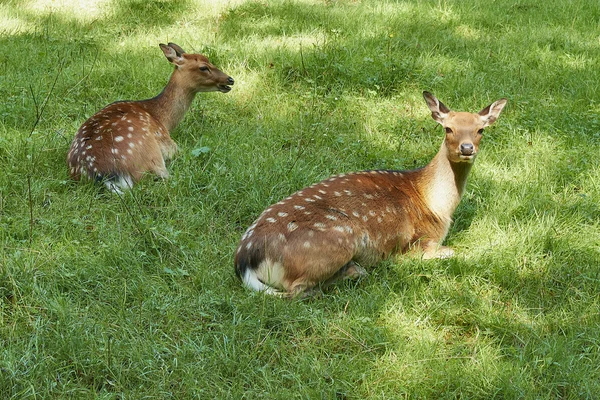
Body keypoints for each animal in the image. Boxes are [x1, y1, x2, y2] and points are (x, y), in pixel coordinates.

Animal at [65, 43, 233, 193]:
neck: (161, 118)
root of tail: (102, 175)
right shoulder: (169, 144)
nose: (230, 79)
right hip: (151, 155)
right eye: (203, 67)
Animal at [234, 91, 506, 296]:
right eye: (448, 128)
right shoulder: (420, 241)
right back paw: (354, 272)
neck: (435, 204)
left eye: (480, 130)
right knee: (297, 290)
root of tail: (245, 260)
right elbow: (456, 252)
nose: (467, 148)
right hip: (337, 240)